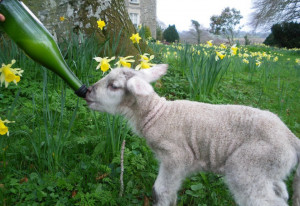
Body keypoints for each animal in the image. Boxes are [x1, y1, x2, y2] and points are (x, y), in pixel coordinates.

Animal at [84, 64, 300, 206]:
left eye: (114, 86)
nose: (85, 91)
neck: (158, 114)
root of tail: (291, 139)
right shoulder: (171, 163)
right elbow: (168, 191)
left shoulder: (176, 156)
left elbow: (160, 191)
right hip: (270, 168)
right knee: (282, 192)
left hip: (248, 166)